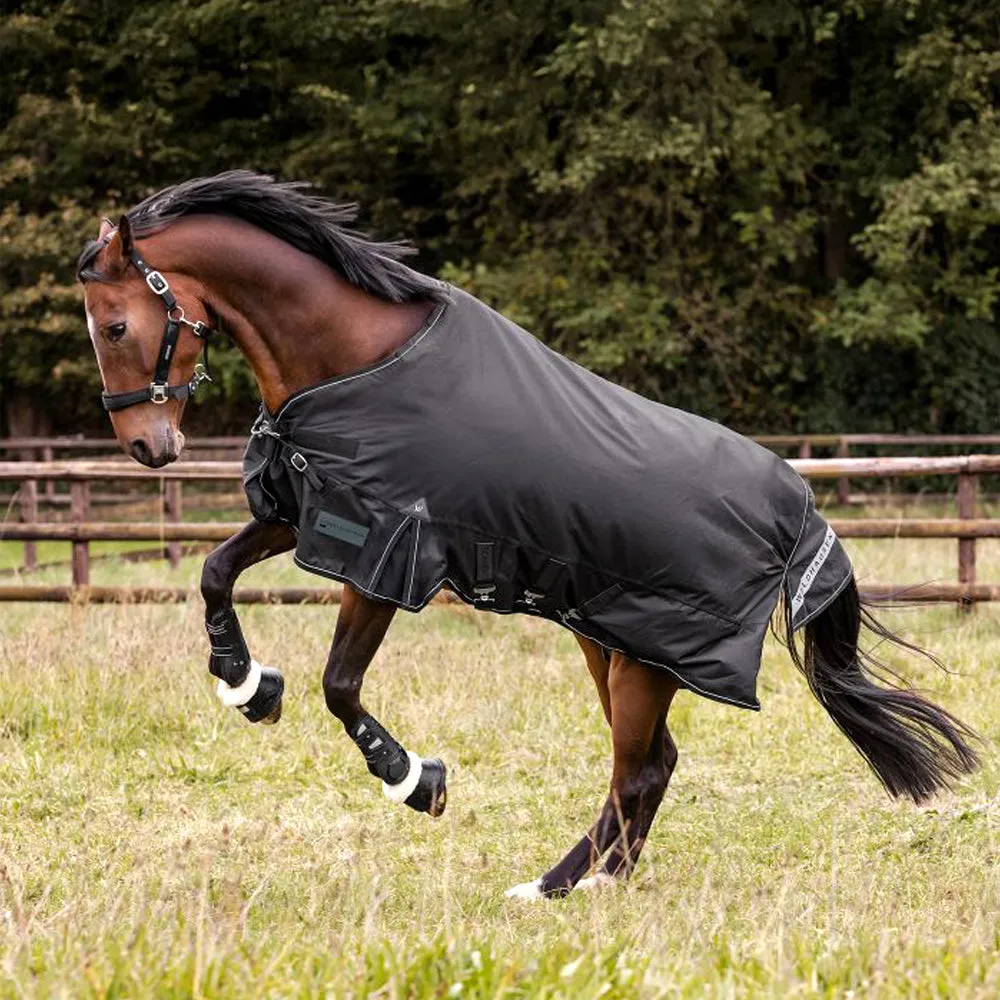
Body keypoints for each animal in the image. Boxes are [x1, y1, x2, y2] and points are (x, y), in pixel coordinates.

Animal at [77, 171, 979, 899]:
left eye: (115, 327)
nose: (148, 448)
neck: (357, 359)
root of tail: (799, 512)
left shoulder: (386, 549)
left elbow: (339, 684)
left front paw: (416, 782)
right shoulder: (309, 507)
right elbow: (214, 573)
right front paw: (248, 686)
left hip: (645, 660)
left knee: (638, 769)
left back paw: (556, 886)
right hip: (610, 642)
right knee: (652, 766)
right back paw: (598, 881)